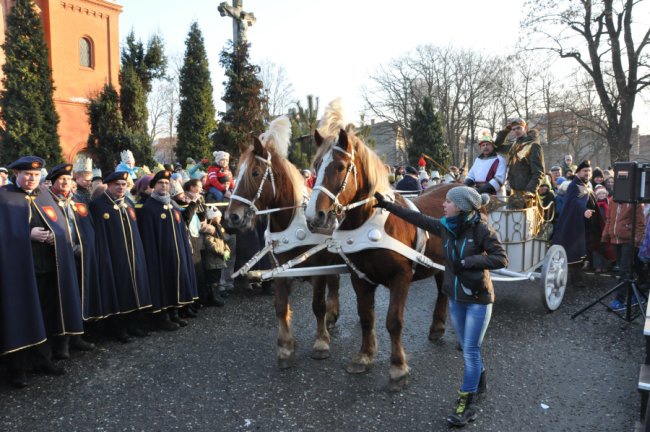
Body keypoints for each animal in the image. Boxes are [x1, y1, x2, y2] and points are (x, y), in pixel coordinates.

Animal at [225, 117, 340, 368]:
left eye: (255, 173)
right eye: (235, 173)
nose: (232, 217)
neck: (292, 222)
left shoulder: (317, 267)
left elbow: (317, 305)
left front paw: (321, 342)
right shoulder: (278, 267)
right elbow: (280, 306)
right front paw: (286, 347)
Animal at [306, 102, 448, 392]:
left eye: (340, 167)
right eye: (315, 165)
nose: (315, 216)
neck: (374, 225)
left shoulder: (400, 277)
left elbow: (393, 321)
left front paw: (398, 368)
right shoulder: (360, 278)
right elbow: (366, 317)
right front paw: (364, 356)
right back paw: (437, 326)